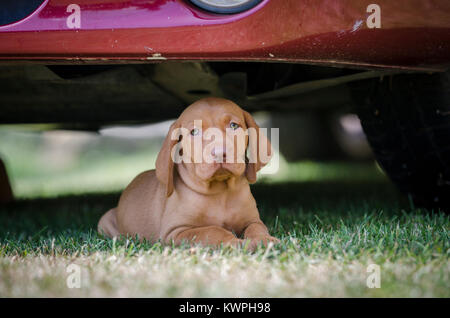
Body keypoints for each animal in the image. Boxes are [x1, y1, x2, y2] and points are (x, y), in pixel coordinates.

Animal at [98, 98, 278, 250]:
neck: (220, 191)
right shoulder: (176, 232)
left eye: (234, 126)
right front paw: (235, 242)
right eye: (194, 132)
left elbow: (257, 228)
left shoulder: (252, 220)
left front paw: (263, 239)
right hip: (105, 221)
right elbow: (212, 230)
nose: (220, 153)